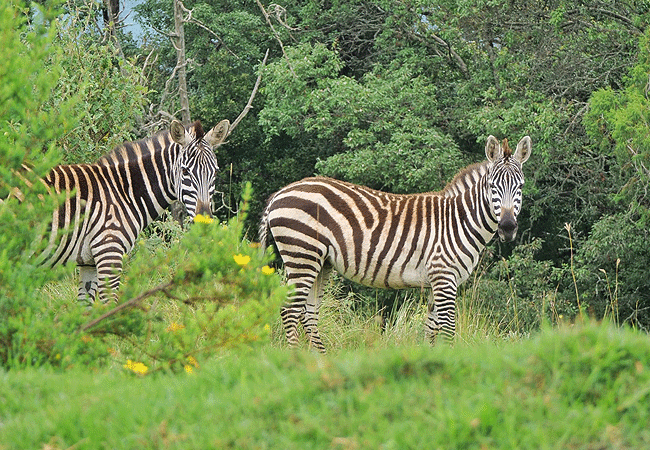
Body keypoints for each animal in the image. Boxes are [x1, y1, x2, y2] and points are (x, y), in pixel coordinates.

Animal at [35, 118, 229, 306]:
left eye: (215, 172)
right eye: (185, 171)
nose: (204, 222)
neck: (123, 191)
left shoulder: (89, 263)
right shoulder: (109, 251)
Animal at [258, 134, 532, 352]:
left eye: (520, 186)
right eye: (492, 186)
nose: (508, 227)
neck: (458, 220)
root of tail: (279, 193)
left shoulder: (436, 281)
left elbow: (431, 328)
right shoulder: (444, 276)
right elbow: (448, 328)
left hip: (320, 262)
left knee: (309, 313)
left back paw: (318, 361)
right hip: (302, 255)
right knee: (290, 310)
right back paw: (296, 360)